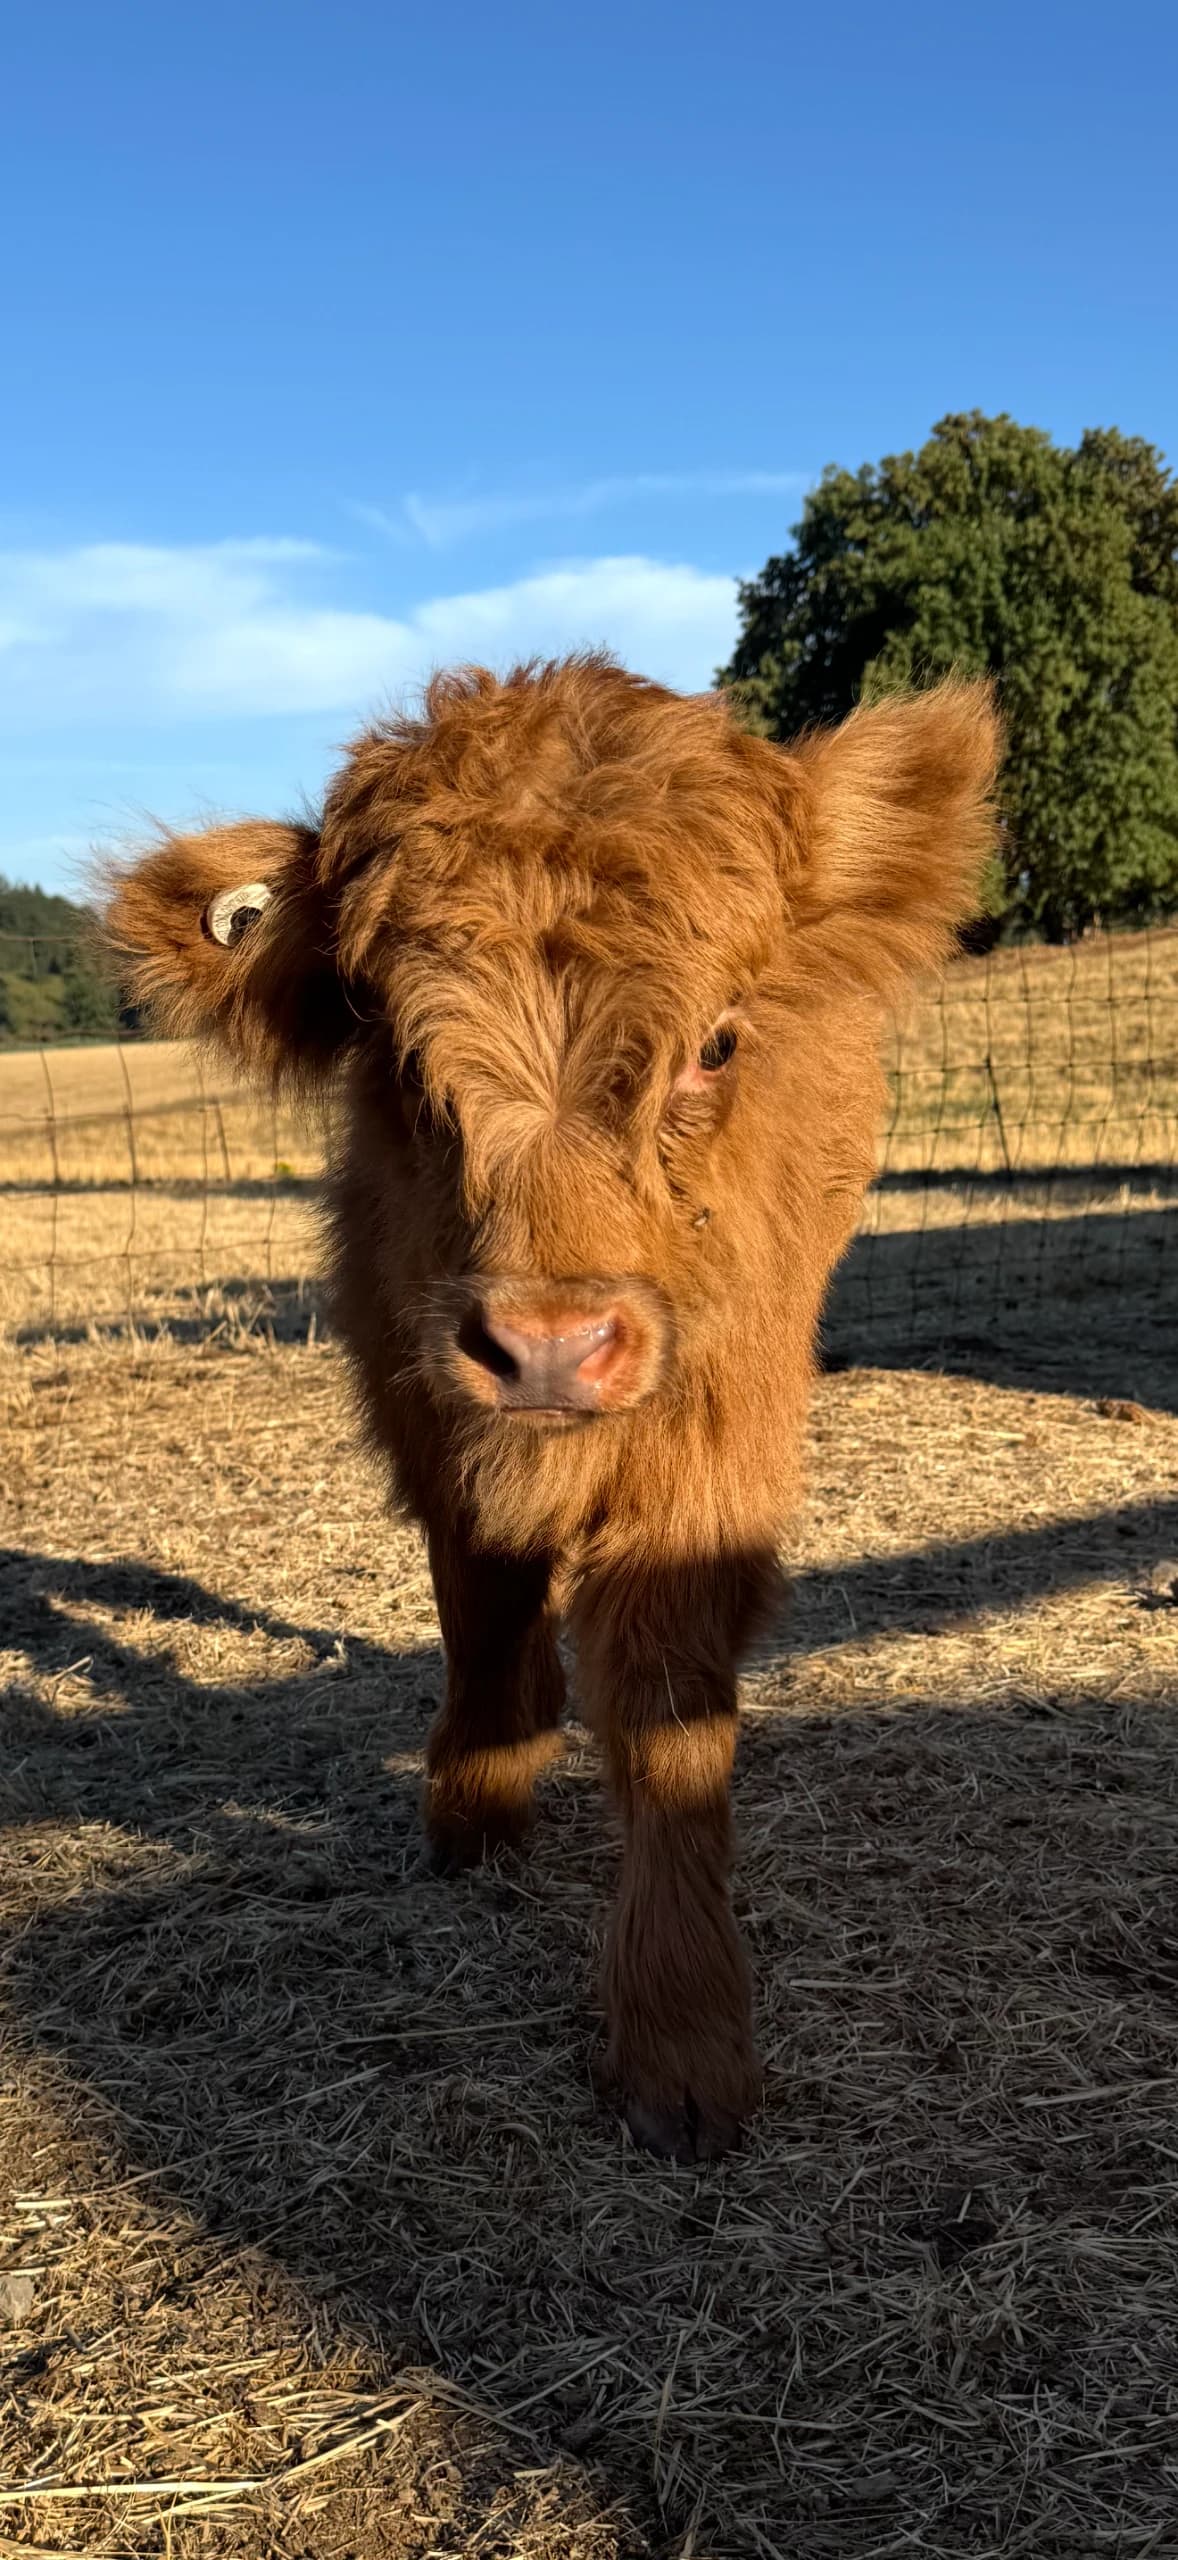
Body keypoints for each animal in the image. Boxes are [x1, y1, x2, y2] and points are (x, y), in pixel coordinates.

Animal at [107, 656, 999, 2159]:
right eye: (391, 1051)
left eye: (715, 1043)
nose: (547, 1349)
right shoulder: (418, 1393)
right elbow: (477, 1597)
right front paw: (475, 1800)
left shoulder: (715, 1432)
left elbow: (667, 1695)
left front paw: (682, 2039)